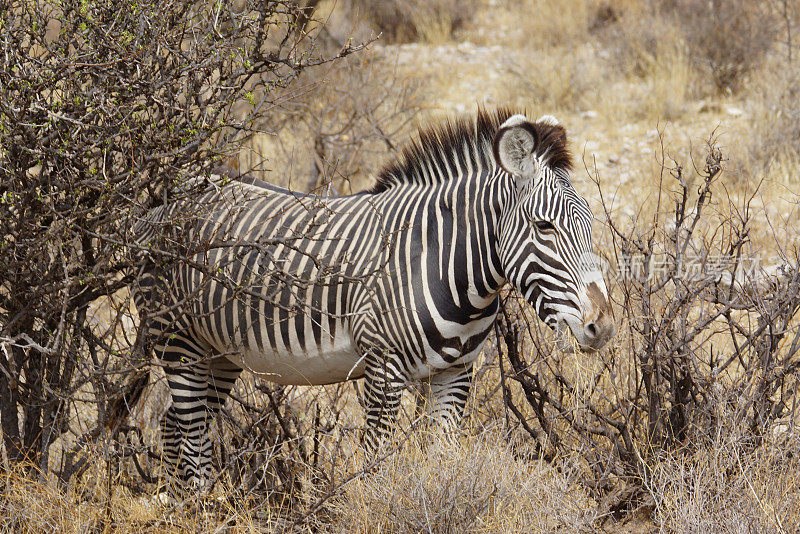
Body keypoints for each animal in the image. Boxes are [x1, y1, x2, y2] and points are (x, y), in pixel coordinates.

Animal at [125, 108, 616, 494]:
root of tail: (162, 202)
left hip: (219, 352)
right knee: (191, 432)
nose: (604, 327)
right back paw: (199, 508)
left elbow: (444, 459)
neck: (444, 264)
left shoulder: (456, 373)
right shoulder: (383, 368)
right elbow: (375, 463)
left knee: (174, 424)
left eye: (590, 225)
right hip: (178, 341)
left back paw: (182, 506)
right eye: (544, 226)